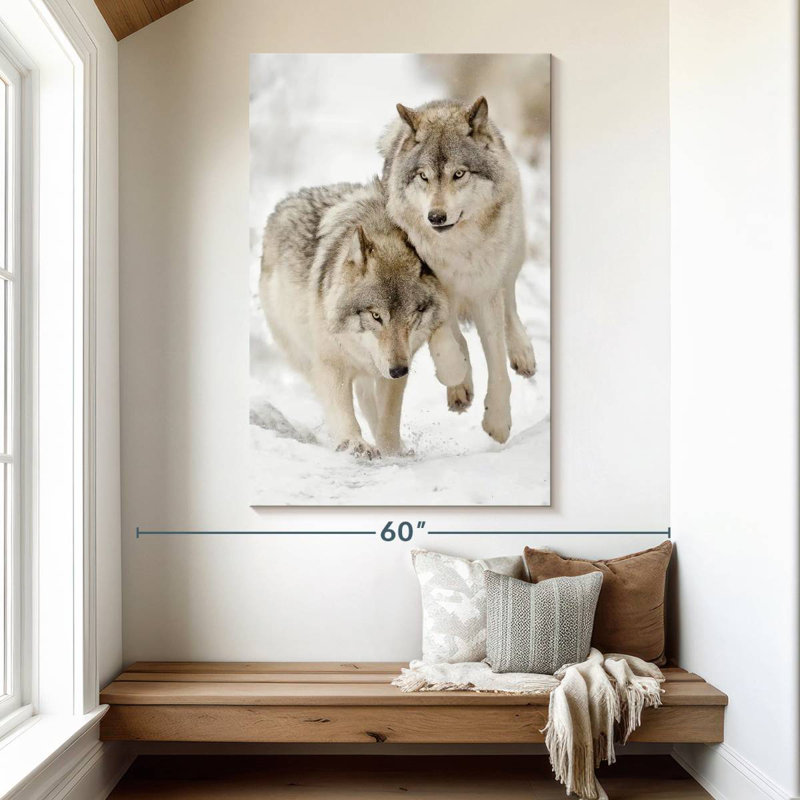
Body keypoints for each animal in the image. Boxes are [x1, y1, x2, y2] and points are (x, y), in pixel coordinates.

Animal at [259, 179, 465, 458]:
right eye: (376, 316)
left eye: (411, 315)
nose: (399, 370)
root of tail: (286, 201)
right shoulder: (331, 365)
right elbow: (344, 413)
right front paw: (354, 444)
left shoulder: (396, 366)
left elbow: (388, 417)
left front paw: (392, 451)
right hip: (304, 355)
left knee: (368, 401)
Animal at [380, 97, 535, 444]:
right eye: (424, 176)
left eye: (459, 174)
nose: (436, 216)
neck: (457, 251)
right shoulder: (430, 288)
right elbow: (445, 344)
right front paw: (456, 375)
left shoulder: (485, 291)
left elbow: (497, 364)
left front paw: (498, 422)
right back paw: (461, 386)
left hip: (513, 255)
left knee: (511, 303)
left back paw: (522, 353)